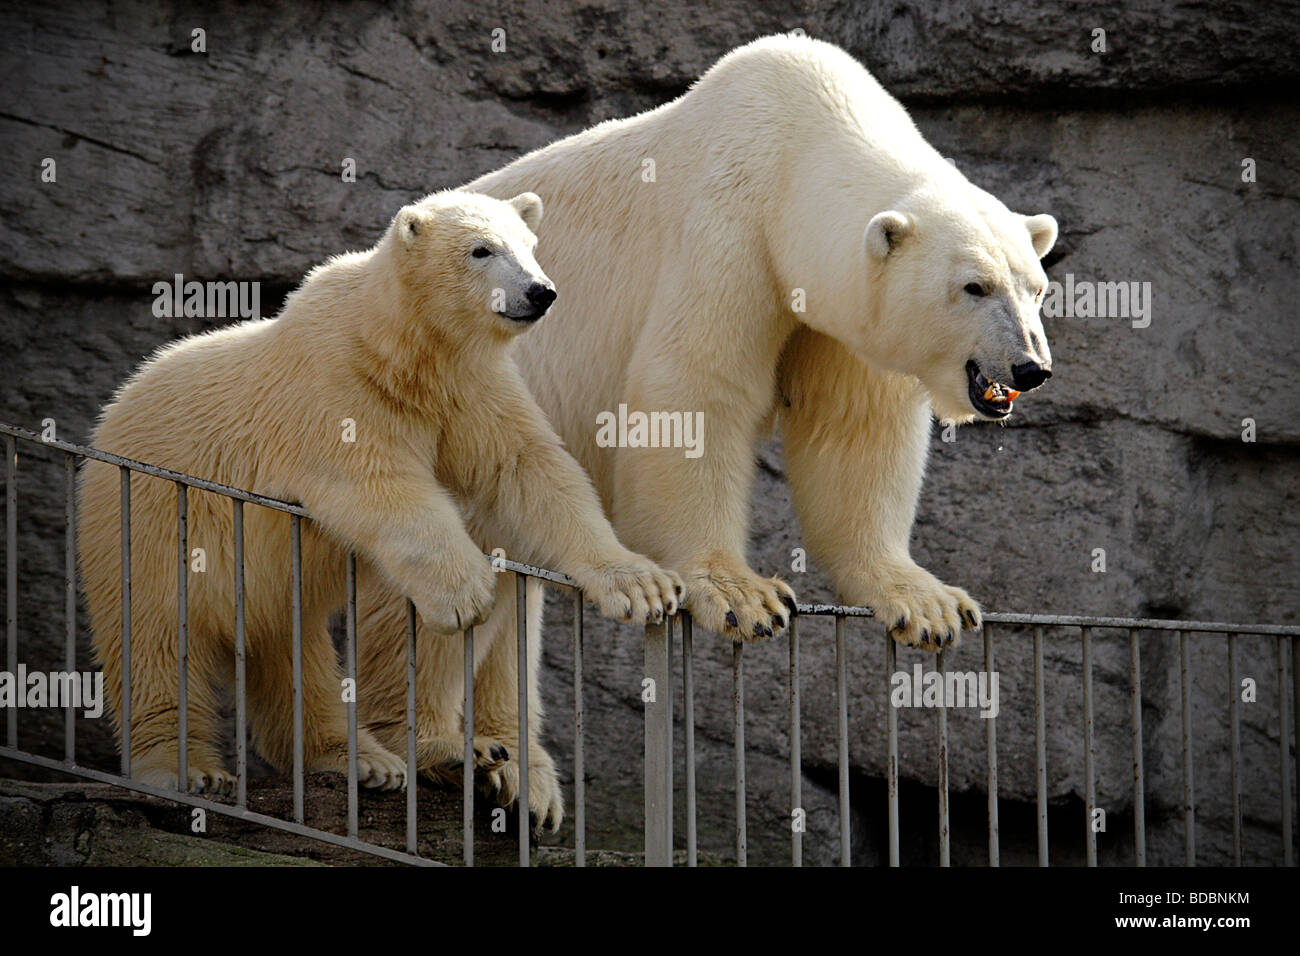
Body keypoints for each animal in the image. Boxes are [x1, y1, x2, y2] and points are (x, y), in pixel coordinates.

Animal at [462, 37, 1060, 650]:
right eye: (974, 286)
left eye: (1037, 288)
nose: (1031, 366)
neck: (795, 150)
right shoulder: (733, 228)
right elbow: (695, 390)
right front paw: (742, 597)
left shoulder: (838, 314)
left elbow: (854, 426)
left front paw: (929, 604)